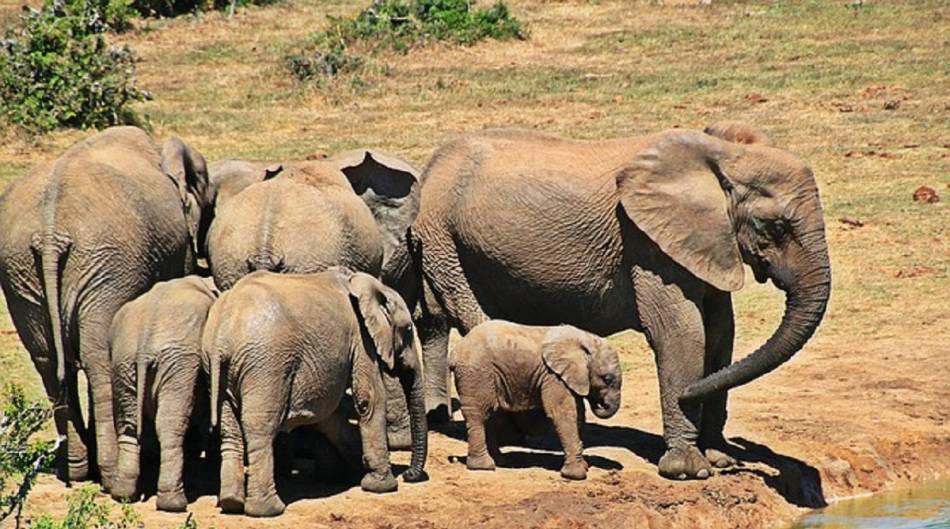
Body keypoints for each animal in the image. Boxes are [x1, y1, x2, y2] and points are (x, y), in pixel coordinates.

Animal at [0, 127, 212, 486]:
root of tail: (50, 233)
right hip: (106, 265)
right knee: (97, 359)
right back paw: (111, 474)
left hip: (22, 271)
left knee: (48, 361)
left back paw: (75, 469)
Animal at [109, 274, 219, 510]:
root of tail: (144, 342)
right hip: (178, 364)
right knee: (170, 426)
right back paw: (174, 503)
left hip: (123, 363)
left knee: (129, 426)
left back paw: (123, 495)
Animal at [204, 268, 428, 516]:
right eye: (408, 330)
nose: (409, 475)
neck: (369, 285)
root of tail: (222, 336)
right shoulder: (362, 339)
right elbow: (369, 400)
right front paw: (382, 486)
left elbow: (329, 415)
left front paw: (353, 473)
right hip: (266, 366)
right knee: (260, 429)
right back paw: (268, 510)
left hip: (220, 369)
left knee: (230, 430)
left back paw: (231, 503)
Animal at [454, 320, 624, 480]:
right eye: (607, 379)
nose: (601, 404)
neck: (586, 340)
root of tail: (455, 351)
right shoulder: (553, 375)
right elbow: (562, 413)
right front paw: (577, 475)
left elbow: (579, 414)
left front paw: (584, 466)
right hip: (476, 373)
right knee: (479, 413)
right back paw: (484, 466)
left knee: (490, 413)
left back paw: (499, 461)